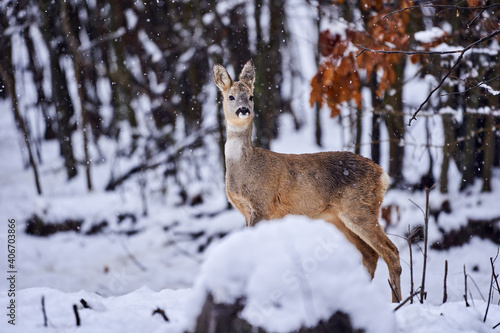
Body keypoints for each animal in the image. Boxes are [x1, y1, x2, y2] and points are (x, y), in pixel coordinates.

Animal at [213, 59, 400, 300]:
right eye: (231, 96)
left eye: (251, 96)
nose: (243, 109)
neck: (246, 168)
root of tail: (382, 175)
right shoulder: (246, 210)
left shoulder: (262, 205)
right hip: (338, 217)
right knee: (370, 254)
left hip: (360, 208)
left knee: (391, 252)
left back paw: (398, 302)